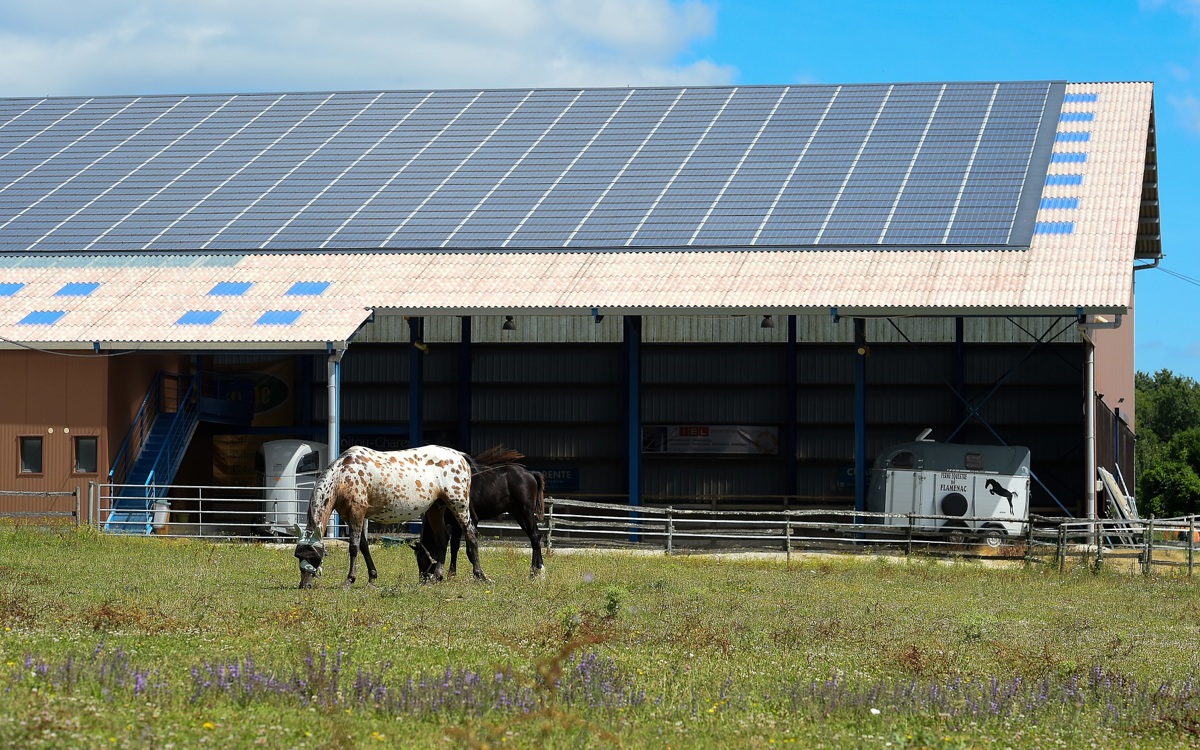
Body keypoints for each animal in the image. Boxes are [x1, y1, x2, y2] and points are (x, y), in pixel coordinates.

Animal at [292, 441, 484, 588]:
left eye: (315, 557)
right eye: (298, 556)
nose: (305, 585)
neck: (343, 474)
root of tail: (459, 455)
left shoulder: (357, 512)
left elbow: (353, 547)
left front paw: (350, 580)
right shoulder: (348, 515)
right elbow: (364, 546)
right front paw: (372, 578)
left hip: (458, 505)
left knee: (471, 534)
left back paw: (480, 574)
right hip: (435, 508)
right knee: (442, 539)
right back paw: (437, 576)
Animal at [412, 446, 544, 583]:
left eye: (421, 559)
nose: (422, 580)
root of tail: (530, 474)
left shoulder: (470, 520)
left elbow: (469, 549)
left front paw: (477, 574)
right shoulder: (456, 525)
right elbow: (454, 547)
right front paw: (452, 574)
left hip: (526, 513)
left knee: (535, 537)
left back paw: (536, 572)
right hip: (518, 514)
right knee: (534, 537)